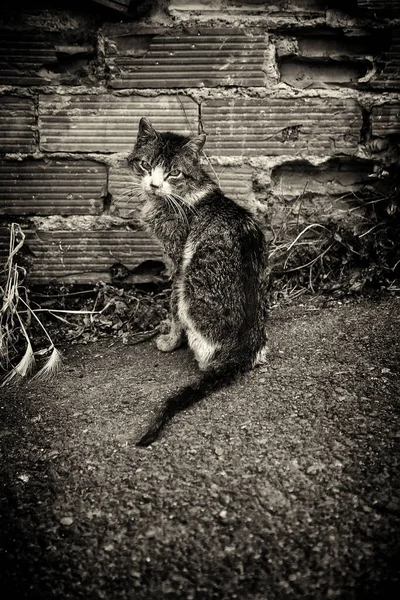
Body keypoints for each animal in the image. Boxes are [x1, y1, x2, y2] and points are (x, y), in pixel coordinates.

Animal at [130, 116, 270, 446]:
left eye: (174, 172)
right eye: (145, 165)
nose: (154, 184)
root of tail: (249, 345)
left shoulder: (176, 261)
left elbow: (170, 306)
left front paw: (169, 340)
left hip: (190, 288)